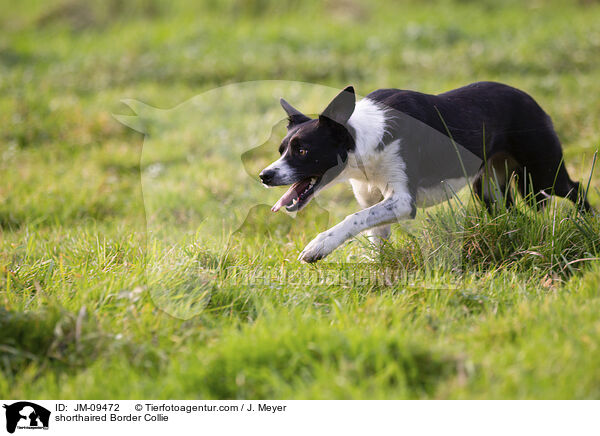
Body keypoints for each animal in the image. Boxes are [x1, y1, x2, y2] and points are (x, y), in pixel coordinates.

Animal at [258, 81, 592, 262]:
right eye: (281, 150)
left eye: (302, 151)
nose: (265, 175)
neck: (363, 142)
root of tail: (529, 98)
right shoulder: (372, 200)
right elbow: (371, 233)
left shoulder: (403, 201)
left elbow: (351, 218)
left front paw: (318, 246)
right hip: (488, 189)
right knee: (511, 214)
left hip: (543, 174)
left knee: (576, 189)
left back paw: (589, 225)